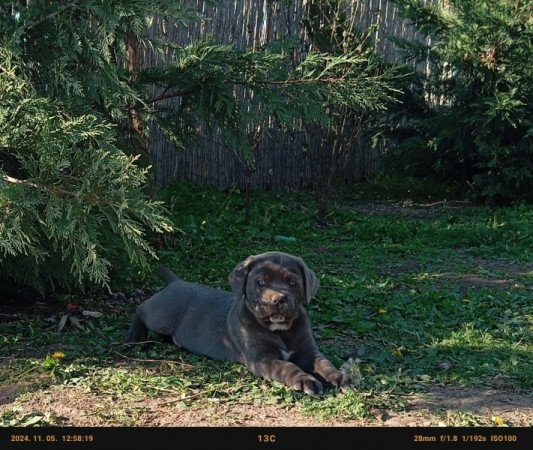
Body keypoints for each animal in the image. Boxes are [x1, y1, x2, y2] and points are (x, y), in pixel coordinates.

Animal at [125, 251, 350, 396]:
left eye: (293, 282)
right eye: (261, 282)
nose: (278, 300)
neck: (280, 330)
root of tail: (176, 281)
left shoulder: (307, 351)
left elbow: (323, 363)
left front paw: (338, 377)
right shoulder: (262, 358)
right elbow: (286, 366)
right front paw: (305, 380)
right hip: (161, 314)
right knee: (142, 309)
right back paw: (133, 337)